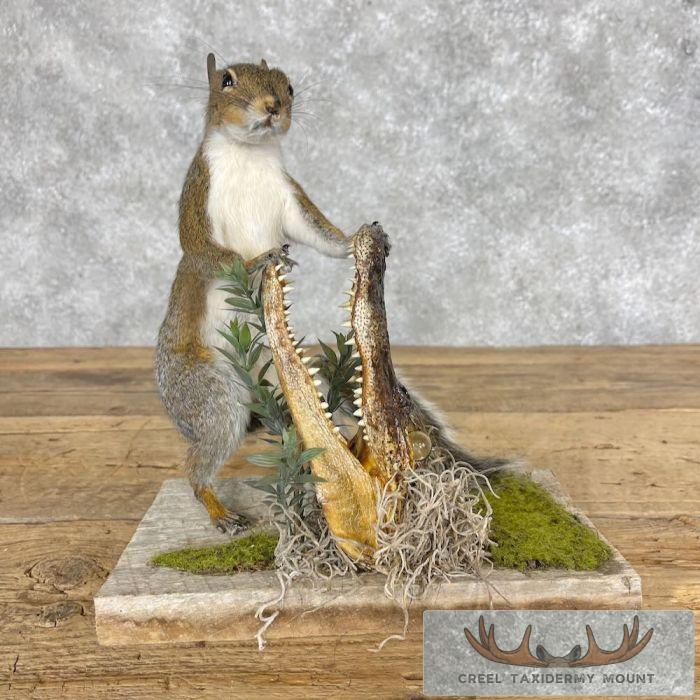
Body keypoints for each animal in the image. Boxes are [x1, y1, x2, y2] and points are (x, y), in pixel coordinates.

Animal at [155, 54, 351, 533]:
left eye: (289, 86)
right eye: (226, 81)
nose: (273, 106)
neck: (249, 155)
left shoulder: (290, 197)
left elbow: (318, 233)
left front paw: (356, 239)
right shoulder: (198, 195)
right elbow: (203, 250)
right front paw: (258, 260)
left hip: (276, 371)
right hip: (207, 392)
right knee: (199, 461)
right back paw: (218, 510)